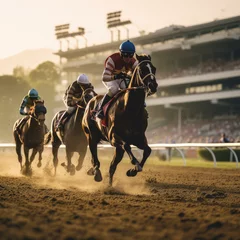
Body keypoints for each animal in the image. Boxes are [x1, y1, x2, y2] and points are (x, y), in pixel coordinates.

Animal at [81, 54, 158, 186]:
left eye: (154, 68)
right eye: (142, 70)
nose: (153, 86)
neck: (131, 110)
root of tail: (91, 100)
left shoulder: (139, 137)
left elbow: (148, 150)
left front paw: (132, 171)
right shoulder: (114, 137)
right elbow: (126, 145)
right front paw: (135, 165)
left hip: (116, 148)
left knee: (112, 166)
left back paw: (110, 185)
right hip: (91, 136)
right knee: (95, 158)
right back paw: (96, 173)